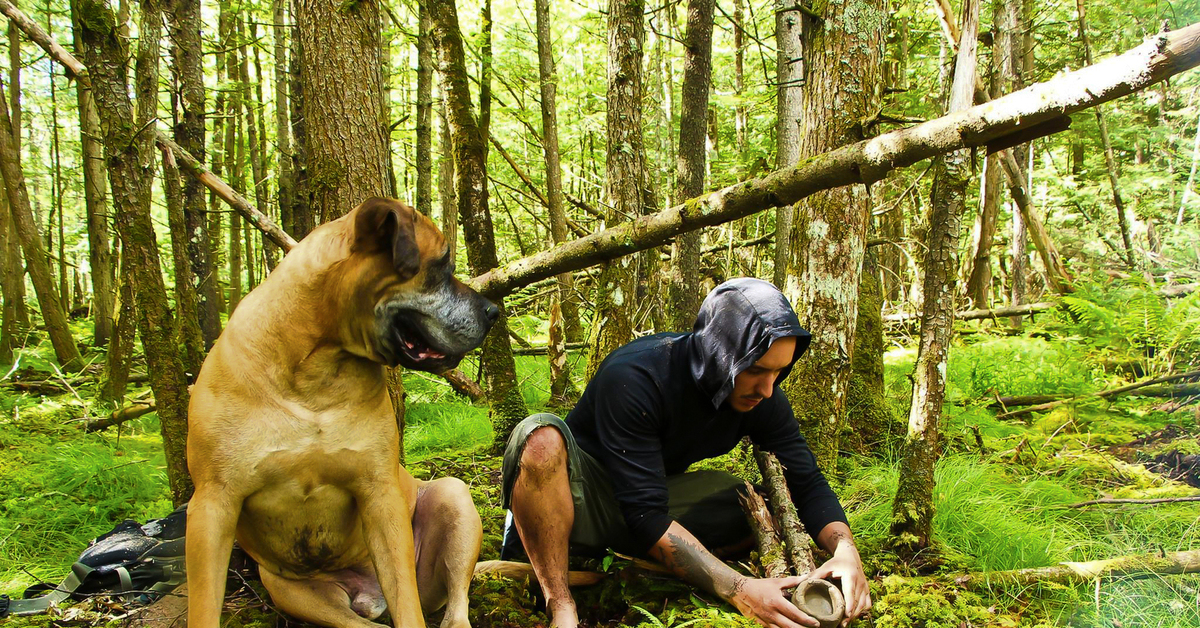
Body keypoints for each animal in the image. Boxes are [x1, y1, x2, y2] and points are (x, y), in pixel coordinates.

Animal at [183, 198, 501, 628]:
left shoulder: (380, 497)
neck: (315, 372)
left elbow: (407, 603)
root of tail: (369, 596)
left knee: (452, 605)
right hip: (289, 589)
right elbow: (202, 605)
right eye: (441, 265)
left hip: (453, 498)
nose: (494, 311)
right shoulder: (212, 506)